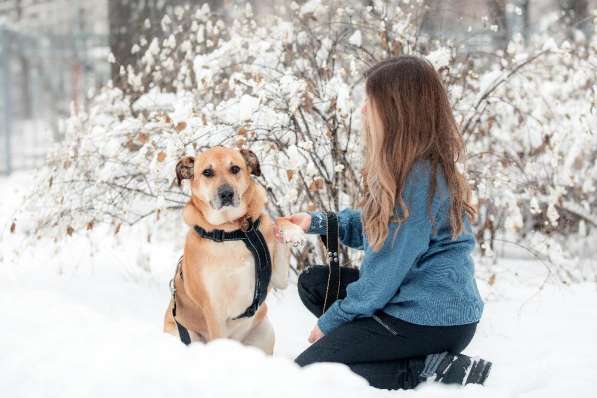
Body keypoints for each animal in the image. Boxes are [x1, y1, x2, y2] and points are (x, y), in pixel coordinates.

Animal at [163, 146, 302, 354]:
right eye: (207, 172)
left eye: (235, 168)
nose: (226, 193)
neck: (231, 232)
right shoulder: (214, 309)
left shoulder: (278, 277)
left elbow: (279, 221)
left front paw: (292, 230)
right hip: (185, 335)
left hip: (265, 331)